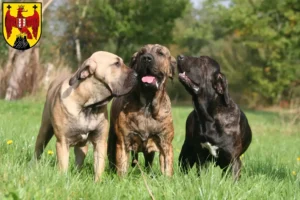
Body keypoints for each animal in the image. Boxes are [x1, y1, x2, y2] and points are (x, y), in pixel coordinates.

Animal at [108, 44, 176, 177]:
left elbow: (167, 167)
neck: (147, 106)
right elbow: (122, 167)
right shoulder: (123, 141)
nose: (146, 58)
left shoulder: (165, 142)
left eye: (160, 53)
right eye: (141, 53)